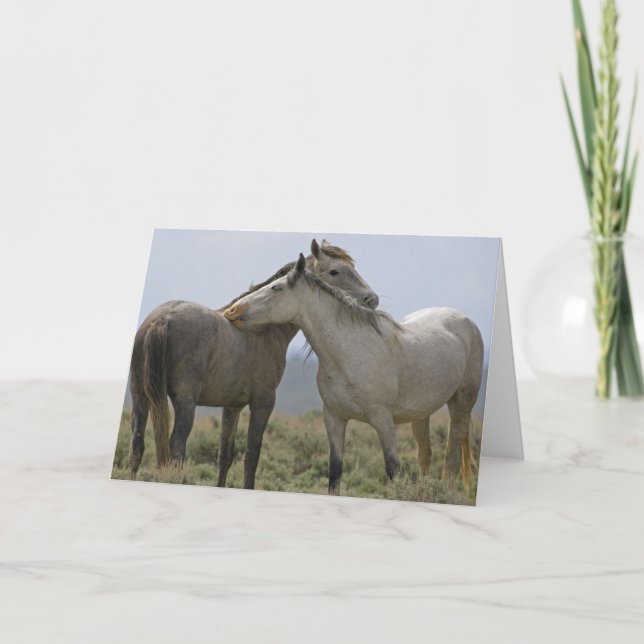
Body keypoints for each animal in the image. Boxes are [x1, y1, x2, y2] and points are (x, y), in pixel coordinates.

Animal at [128, 239, 379, 490]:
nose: (372, 300)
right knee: (176, 446)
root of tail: (163, 319)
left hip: (141, 397)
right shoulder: (263, 402)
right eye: (335, 271)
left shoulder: (232, 407)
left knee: (137, 445)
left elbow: (225, 456)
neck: (263, 328)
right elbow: (252, 456)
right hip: (185, 403)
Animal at [224, 253, 484, 494]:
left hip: (461, 404)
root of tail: (467, 322)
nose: (232, 310)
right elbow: (335, 470)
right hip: (421, 414)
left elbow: (394, 471)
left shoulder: (383, 421)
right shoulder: (334, 418)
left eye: (276, 288)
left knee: (451, 458)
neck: (349, 353)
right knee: (425, 455)